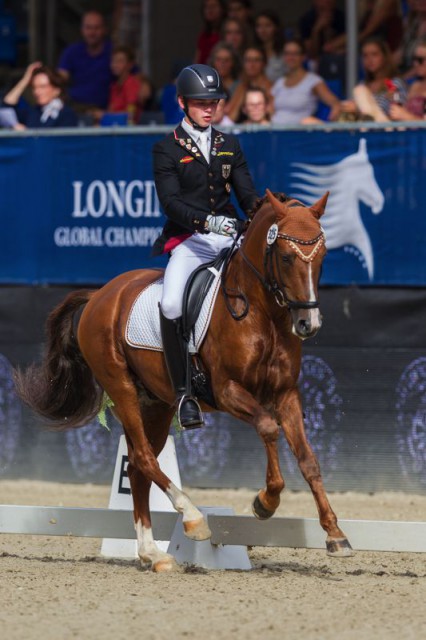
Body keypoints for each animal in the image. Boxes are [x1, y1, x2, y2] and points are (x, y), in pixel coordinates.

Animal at [15, 189, 353, 572]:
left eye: (322, 257)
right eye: (284, 256)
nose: (308, 324)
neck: (262, 314)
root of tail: (101, 294)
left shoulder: (286, 394)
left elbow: (309, 459)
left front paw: (335, 534)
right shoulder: (227, 391)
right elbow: (268, 427)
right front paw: (265, 501)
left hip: (157, 404)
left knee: (138, 468)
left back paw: (153, 553)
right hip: (121, 388)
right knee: (144, 458)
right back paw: (192, 519)